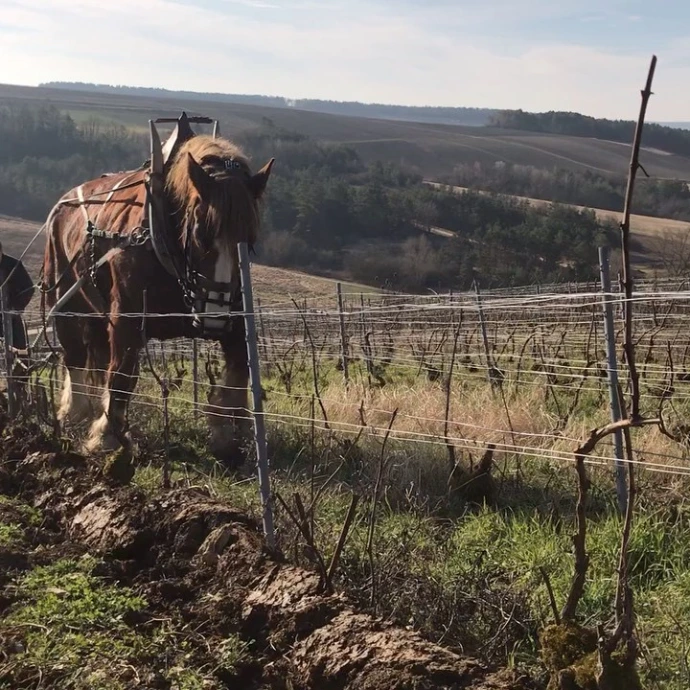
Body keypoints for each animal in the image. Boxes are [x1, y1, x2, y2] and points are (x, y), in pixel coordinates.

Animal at [41, 116, 274, 466]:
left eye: (249, 238)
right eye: (200, 233)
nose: (214, 312)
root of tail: (62, 202)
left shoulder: (236, 320)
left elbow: (238, 373)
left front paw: (226, 435)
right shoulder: (126, 318)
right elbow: (122, 375)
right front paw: (106, 437)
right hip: (65, 299)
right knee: (75, 355)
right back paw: (74, 411)